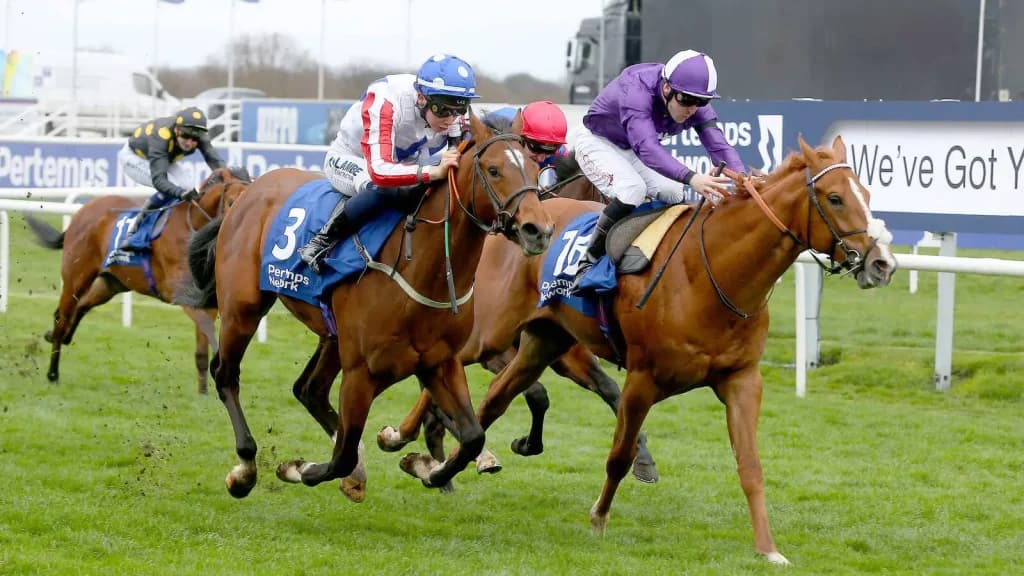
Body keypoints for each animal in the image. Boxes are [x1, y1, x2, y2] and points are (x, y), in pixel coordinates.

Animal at [24, 166, 252, 393]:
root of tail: (81, 212)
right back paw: (53, 372)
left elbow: (204, 349)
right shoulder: (184, 296)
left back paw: (57, 337)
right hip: (76, 276)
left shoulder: (208, 301)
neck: (193, 228)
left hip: (112, 283)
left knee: (81, 306)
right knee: (62, 315)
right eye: (231, 202)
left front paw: (205, 392)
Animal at [177, 110, 554, 501]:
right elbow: (340, 457)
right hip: (243, 308)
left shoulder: (439, 362)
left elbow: (472, 436)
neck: (423, 271)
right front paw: (301, 469)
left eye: (535, 167)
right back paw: (246, 469)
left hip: (331, 336)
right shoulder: (361, 372)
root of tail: (248, 191)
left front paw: (430, 470)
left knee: (309, 390)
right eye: (494, 170)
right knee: (226, 374)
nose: (538, 230)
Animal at [376, 150, 662, 484]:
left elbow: (608, 390)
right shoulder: (487, 347)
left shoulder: (562, 347)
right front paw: (401, 436)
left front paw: (643, 457)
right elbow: (536, 393)